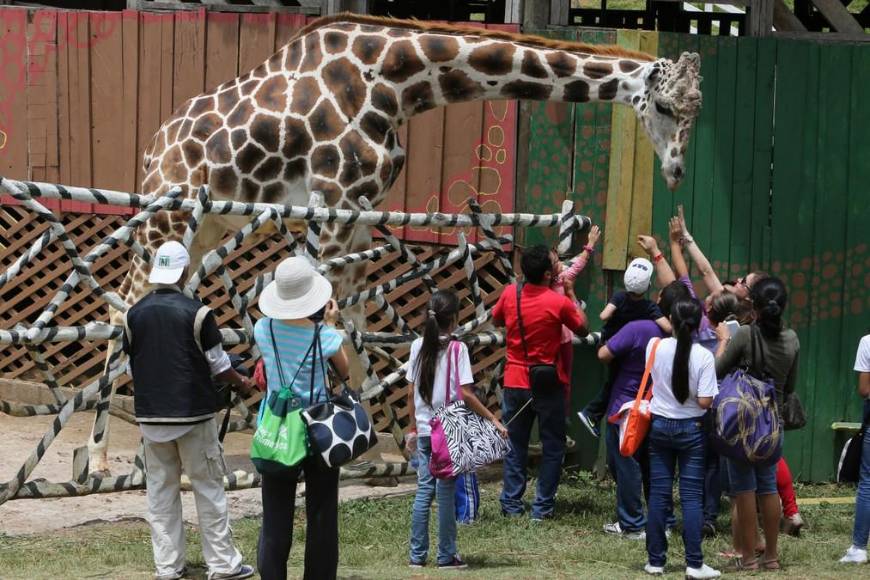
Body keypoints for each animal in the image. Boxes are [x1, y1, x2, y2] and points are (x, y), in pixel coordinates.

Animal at [87, 13, 702, 474]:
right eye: (664, 106)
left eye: (696, 109)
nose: (676, 172)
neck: (396, 83)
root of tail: (154, 148)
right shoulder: (333, 204)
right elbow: (328, 322)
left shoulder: (360, 211)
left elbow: (356, 328)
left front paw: (369, 450)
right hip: (167, 216)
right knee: (122, 305)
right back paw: (97, 459)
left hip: (206, 224)